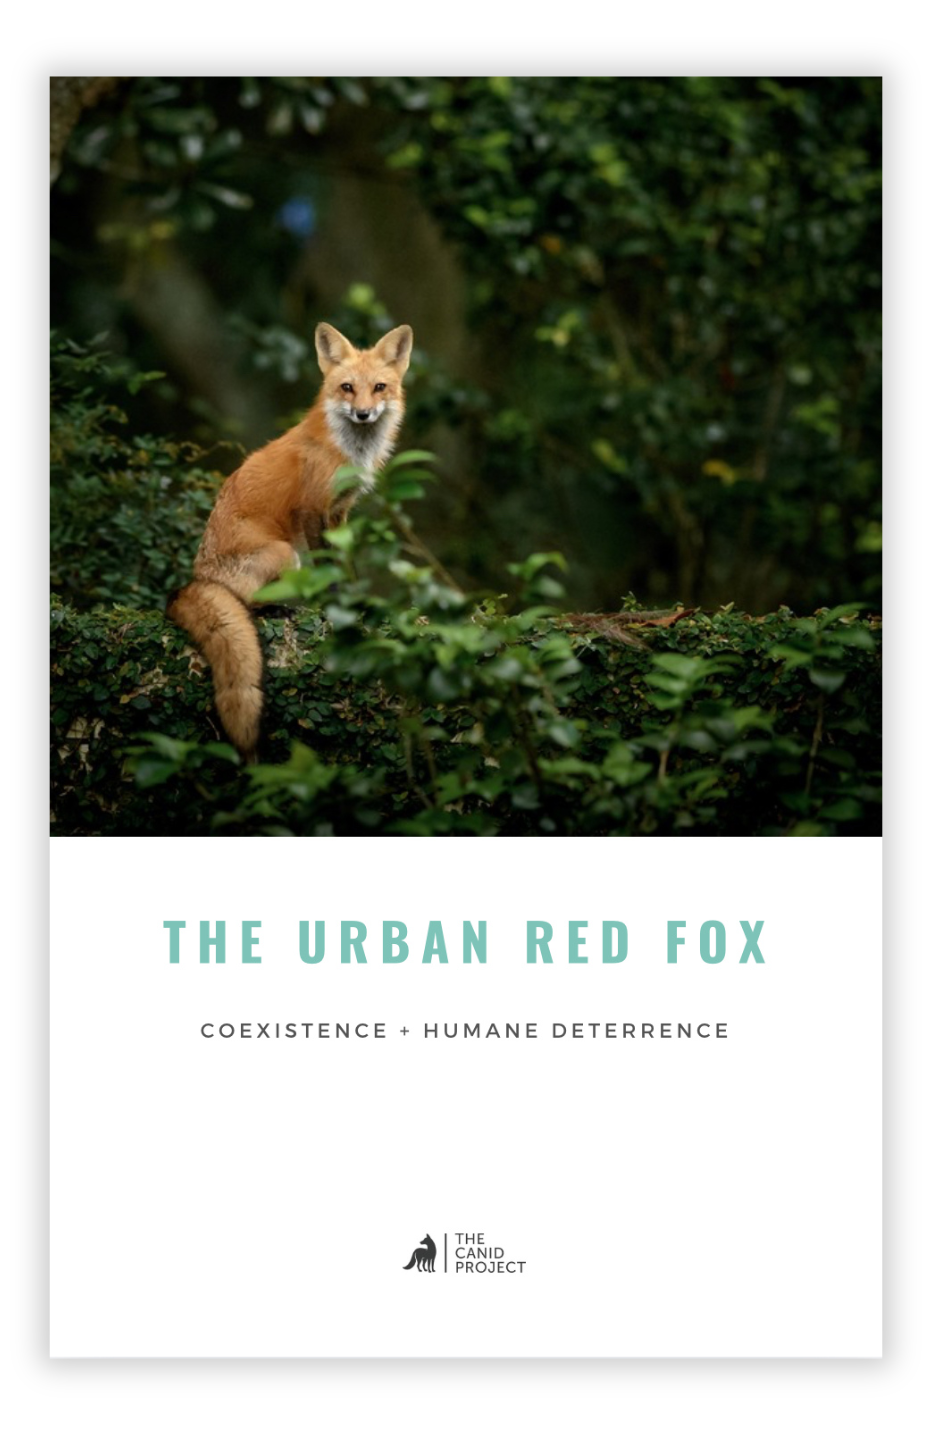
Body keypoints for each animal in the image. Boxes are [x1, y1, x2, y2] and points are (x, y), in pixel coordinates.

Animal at [168, 322, 414, 761]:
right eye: (347, 388)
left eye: (379, 387)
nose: (363, 413)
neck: (347, 451)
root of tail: (199, 578)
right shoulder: (311, 510)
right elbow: (329, 570)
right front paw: (338, 609)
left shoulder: (340, 513)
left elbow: (346, 566)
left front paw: (357, 603)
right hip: (284, 553)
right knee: (247, 603)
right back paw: (277, 610)